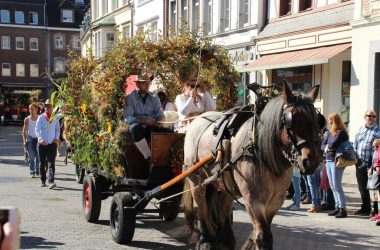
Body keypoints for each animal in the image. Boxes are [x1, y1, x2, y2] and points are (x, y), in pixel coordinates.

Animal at [181, 81, 320, 248]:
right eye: (290, 121)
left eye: (317, 120)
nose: (311, 161)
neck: (265, 157)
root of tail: (197, 119)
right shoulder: (253, 200)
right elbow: (263, 236)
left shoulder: (275, 202)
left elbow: (259, 233)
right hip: (197, 181)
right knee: (201, 208)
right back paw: (205, 239)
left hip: (224, 184)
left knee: (222, 208)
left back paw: (225, 240)